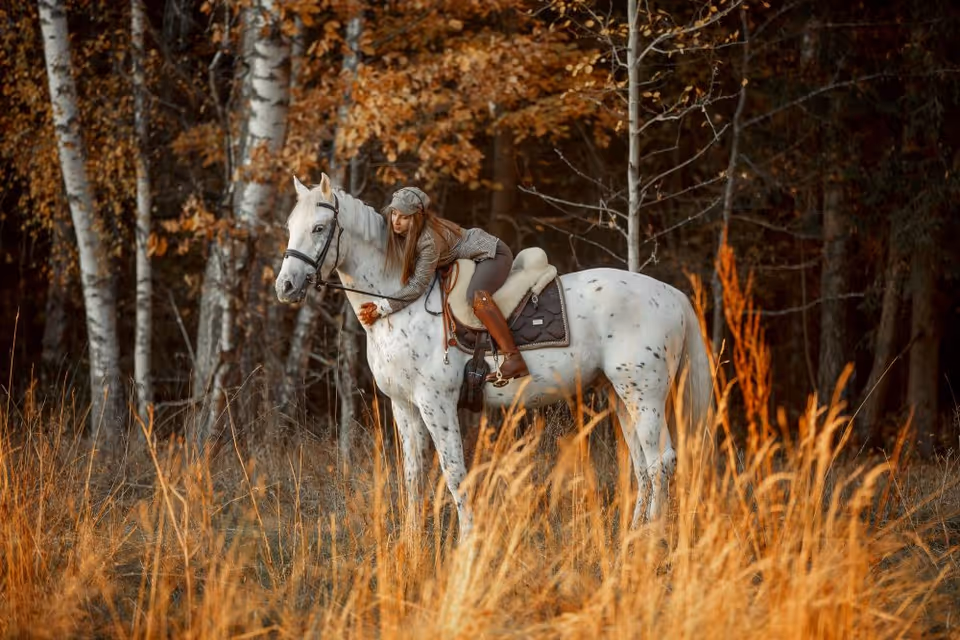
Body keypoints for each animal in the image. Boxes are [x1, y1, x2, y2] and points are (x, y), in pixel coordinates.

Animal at [275, 173, 713, 540]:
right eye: (290, 227)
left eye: (318, 228)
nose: (285, 286)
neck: (399, 307)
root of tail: (670, 293)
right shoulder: (404, 405)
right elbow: (413, 476)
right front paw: (411, 546)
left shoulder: (436, 403)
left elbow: (454, 473)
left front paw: (467, 541)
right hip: (620, 394)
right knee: (642, 464)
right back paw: (633, 536)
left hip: (645, 396)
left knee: (661, 461)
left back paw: (651, 541)